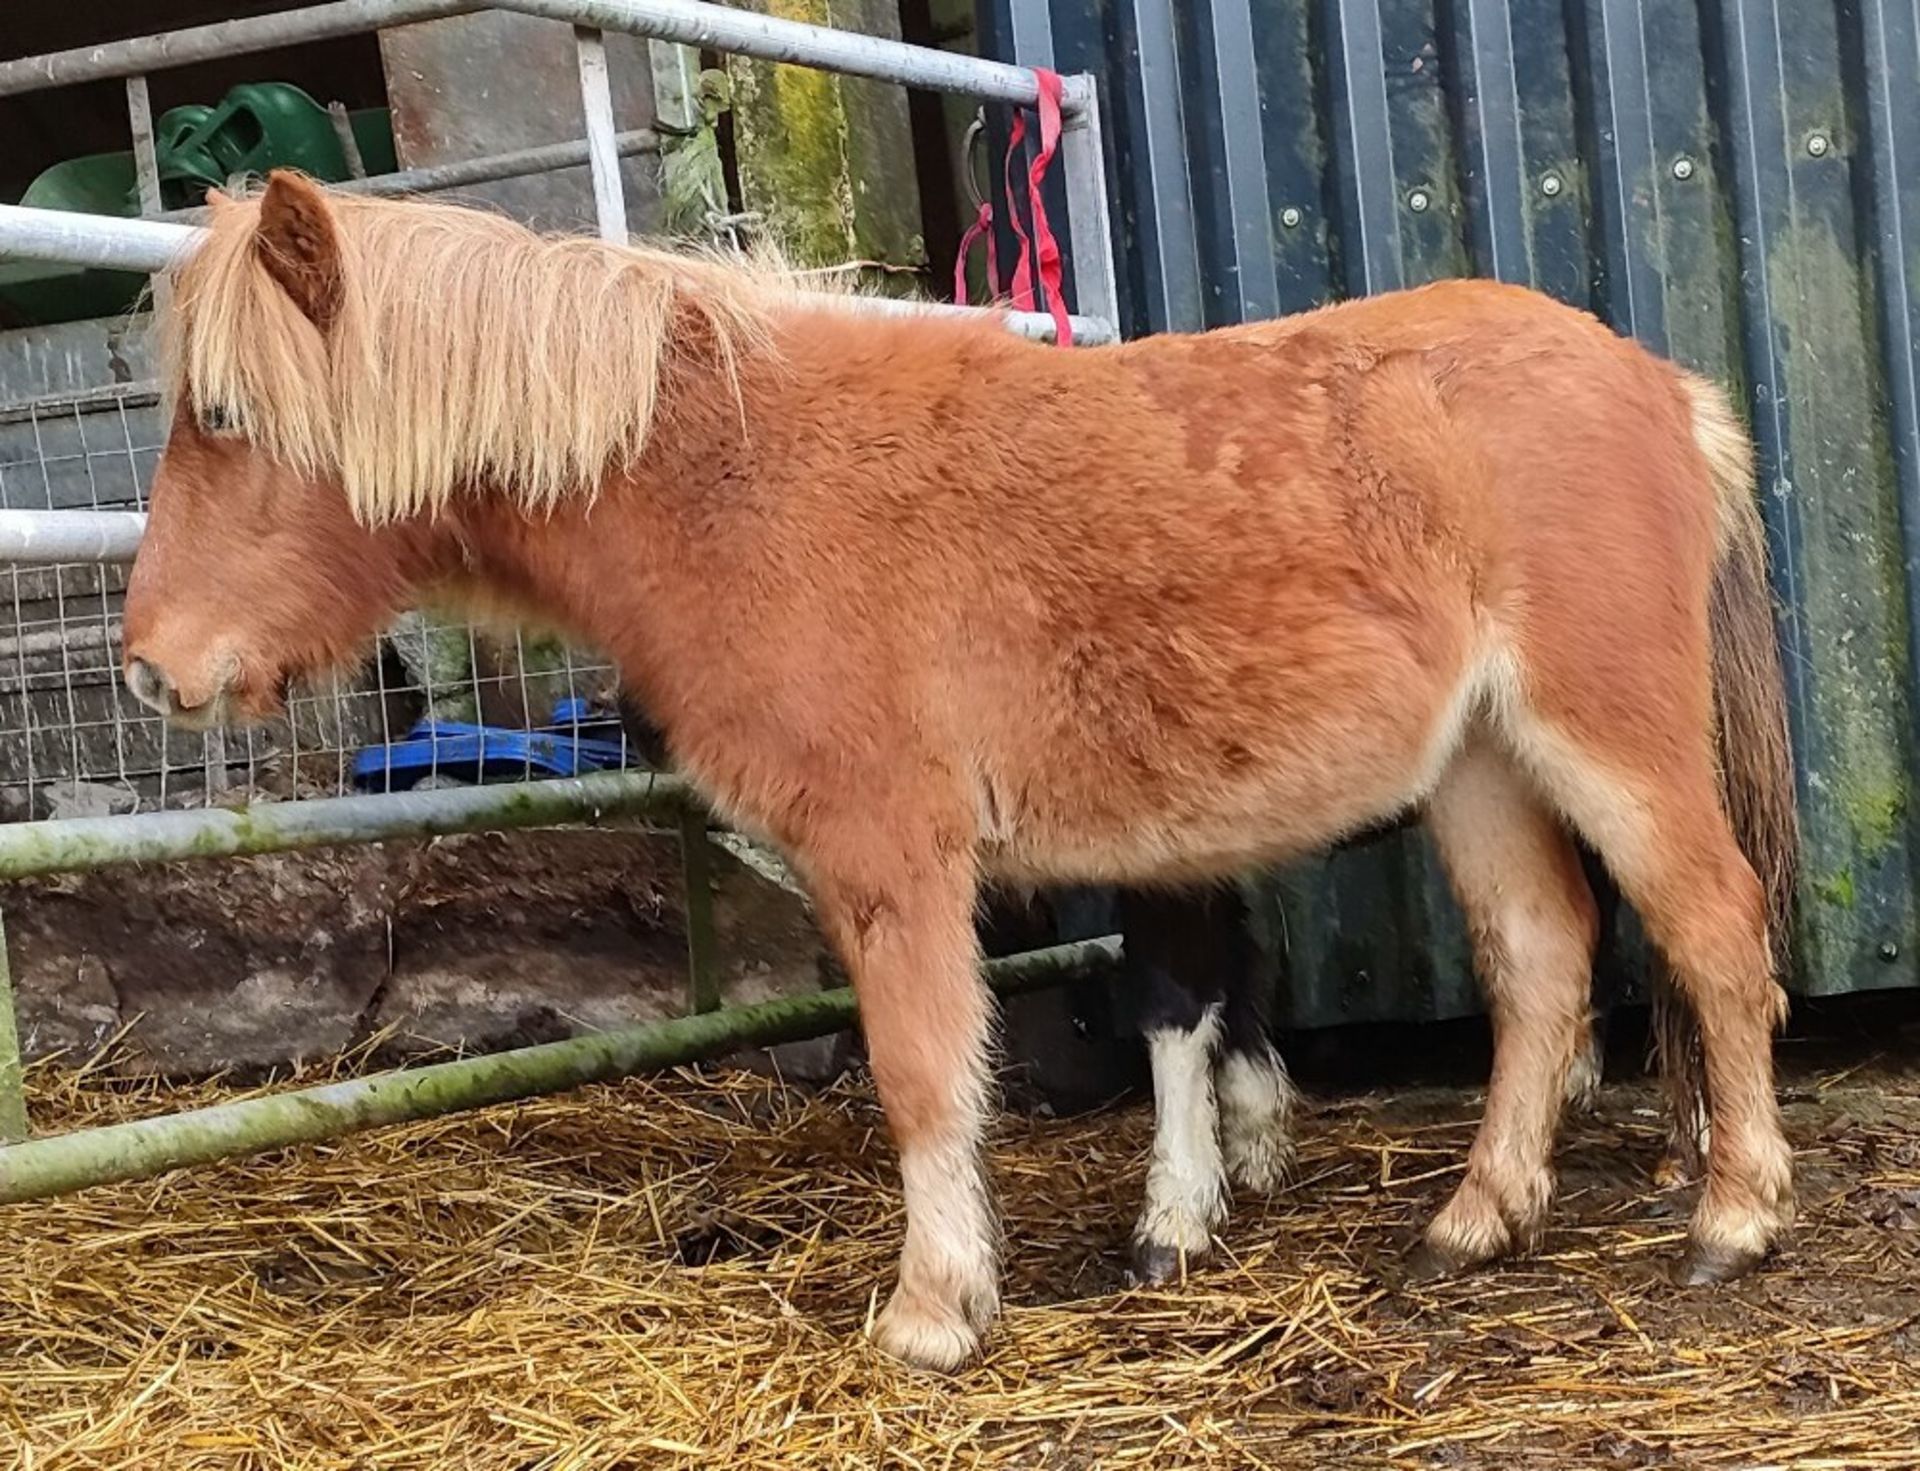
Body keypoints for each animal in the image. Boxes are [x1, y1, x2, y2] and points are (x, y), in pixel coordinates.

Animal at [123, 175, 1797, 1382]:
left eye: (226, 417)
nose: (148, 667)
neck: (735, 483)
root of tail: (1660, 384)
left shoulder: (891, 858)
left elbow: (927, 1076)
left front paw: (936, 1311)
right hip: (1482, 763)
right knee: (1542, 958)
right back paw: (1477, 1219)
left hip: (1607, 741)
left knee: (1715, 933)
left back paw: (1735, 1214)